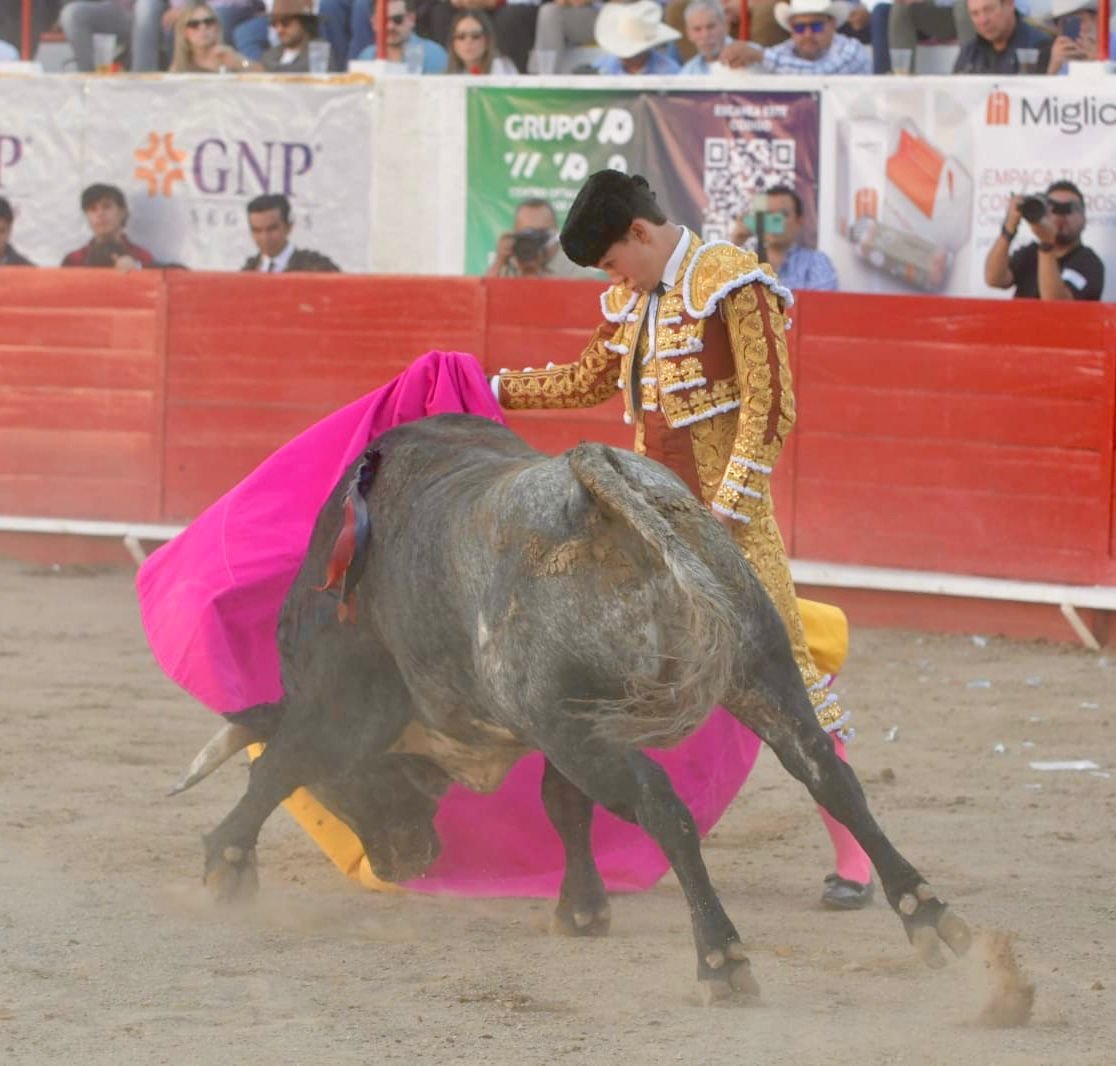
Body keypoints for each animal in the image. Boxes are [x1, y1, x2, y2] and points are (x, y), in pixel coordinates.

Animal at [174, 413, 971, 1001]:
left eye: (340, 794)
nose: (407, 863)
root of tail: (596, 490)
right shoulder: (564, 724)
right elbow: (563, 806)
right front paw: (583, 909)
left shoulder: (348, 707)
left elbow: (279, 763)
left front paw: (224, 866)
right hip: (754, 669)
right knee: (826, 773)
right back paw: (926, 913)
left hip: (589, 725)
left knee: (664, 807)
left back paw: (722, 958)